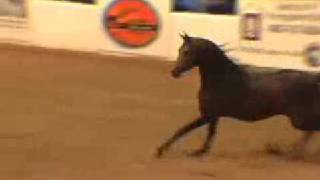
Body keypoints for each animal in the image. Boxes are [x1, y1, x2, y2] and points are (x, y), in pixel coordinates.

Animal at [156, 33, 320, 157]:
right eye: (179, 50)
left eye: (186, 51)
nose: (174, 72)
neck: (221, 79)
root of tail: (312, 79)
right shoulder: (214, 116)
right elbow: (210, 134)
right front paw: (200, 152)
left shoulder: (208, 115)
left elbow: (183, 130)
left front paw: (160, 150)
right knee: (309, 132)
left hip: (299, 119)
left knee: (312, 129)